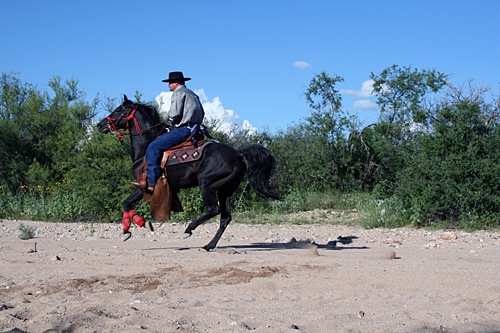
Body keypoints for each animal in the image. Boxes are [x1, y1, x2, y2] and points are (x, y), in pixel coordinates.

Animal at [97, 94, 282, 250]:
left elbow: (126, 203)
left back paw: (189, 229)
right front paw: (133, 228)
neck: (146, 149)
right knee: (225, 217)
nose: (100, 125)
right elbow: (127, 203)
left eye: (119, 109)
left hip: (207, 184)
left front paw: (136, 226)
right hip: (226, 190)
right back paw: (209, 245)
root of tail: (239, 154)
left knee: (213, 210)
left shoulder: (144, 186)